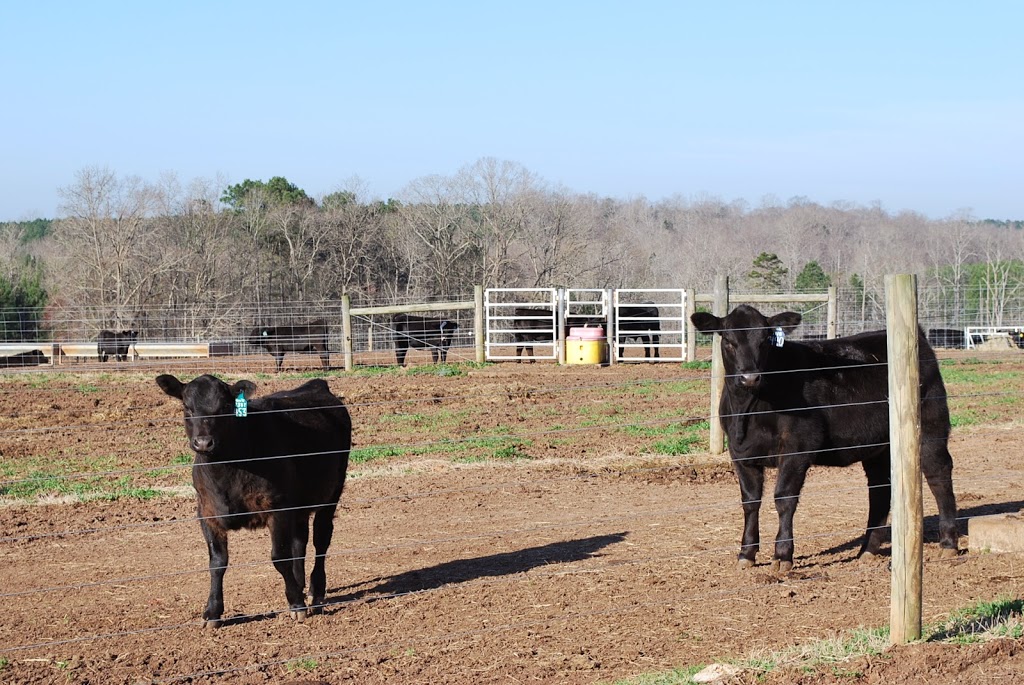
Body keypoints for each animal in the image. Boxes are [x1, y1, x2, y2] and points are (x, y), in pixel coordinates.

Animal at [155, 370, 352, 626]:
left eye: (225, 406)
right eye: (187, 407)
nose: (204, 443)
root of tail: (316, 385)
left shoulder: (277, 508)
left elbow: (279, 557)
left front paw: (296, 604)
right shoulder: (206, 513)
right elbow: (217, 562)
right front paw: (212, 611)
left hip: (332, 493)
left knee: (321, 539)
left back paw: (315, 592)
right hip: (299, 505)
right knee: (300, 541)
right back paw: (300, 584)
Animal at [692, 305, 954, 573]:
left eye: (765, 339)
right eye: (728, 340)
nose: (750, 378)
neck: (748, 411)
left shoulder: (797, 447)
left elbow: (784, 498)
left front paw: (782, 556)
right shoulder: (741, 454)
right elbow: (750, 501)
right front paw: (746, 553)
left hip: (930, 428)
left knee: (939, 475)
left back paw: (948, 544)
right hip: (878, 447)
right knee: (880, 489)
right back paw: (867, 550)